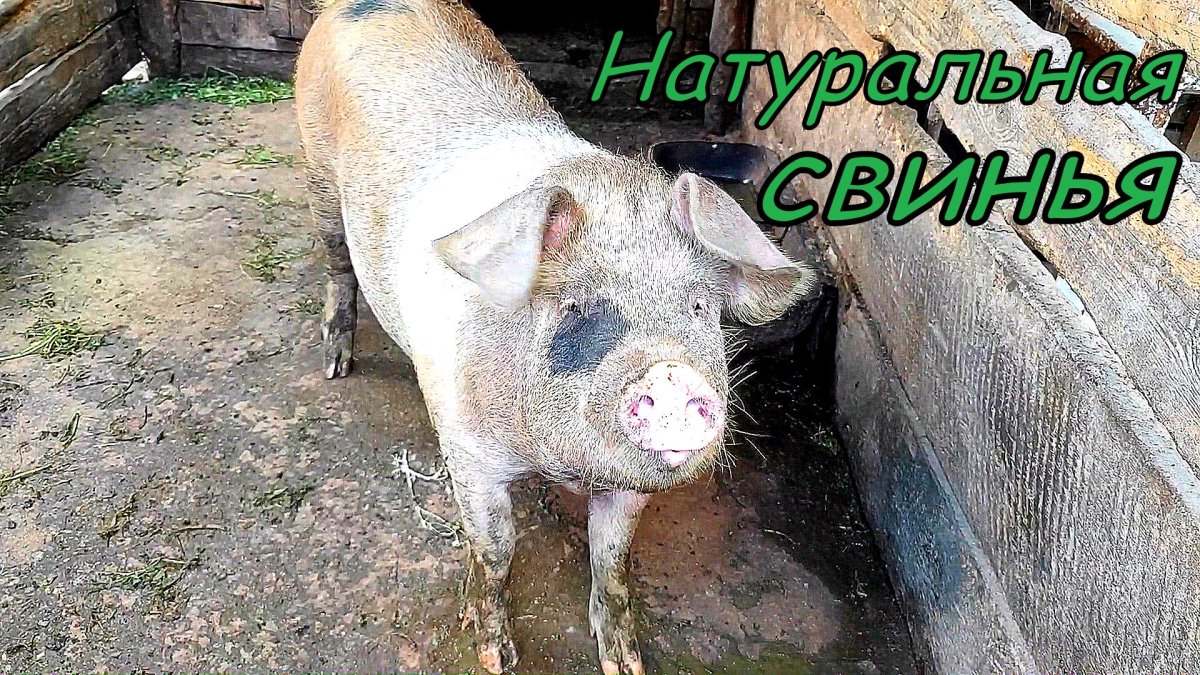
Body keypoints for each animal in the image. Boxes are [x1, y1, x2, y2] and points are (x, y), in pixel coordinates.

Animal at [294, 1, 813, 672]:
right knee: (336, 262)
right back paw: (337, 365)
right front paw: (495, 655)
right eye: (577, 306)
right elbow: (495, 550)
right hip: (316, 171)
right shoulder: (467, 448)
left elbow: (613, 561)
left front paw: (626, 662)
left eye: (699, 307)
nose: (672, 376)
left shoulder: (627, 488)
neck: (560, 462)